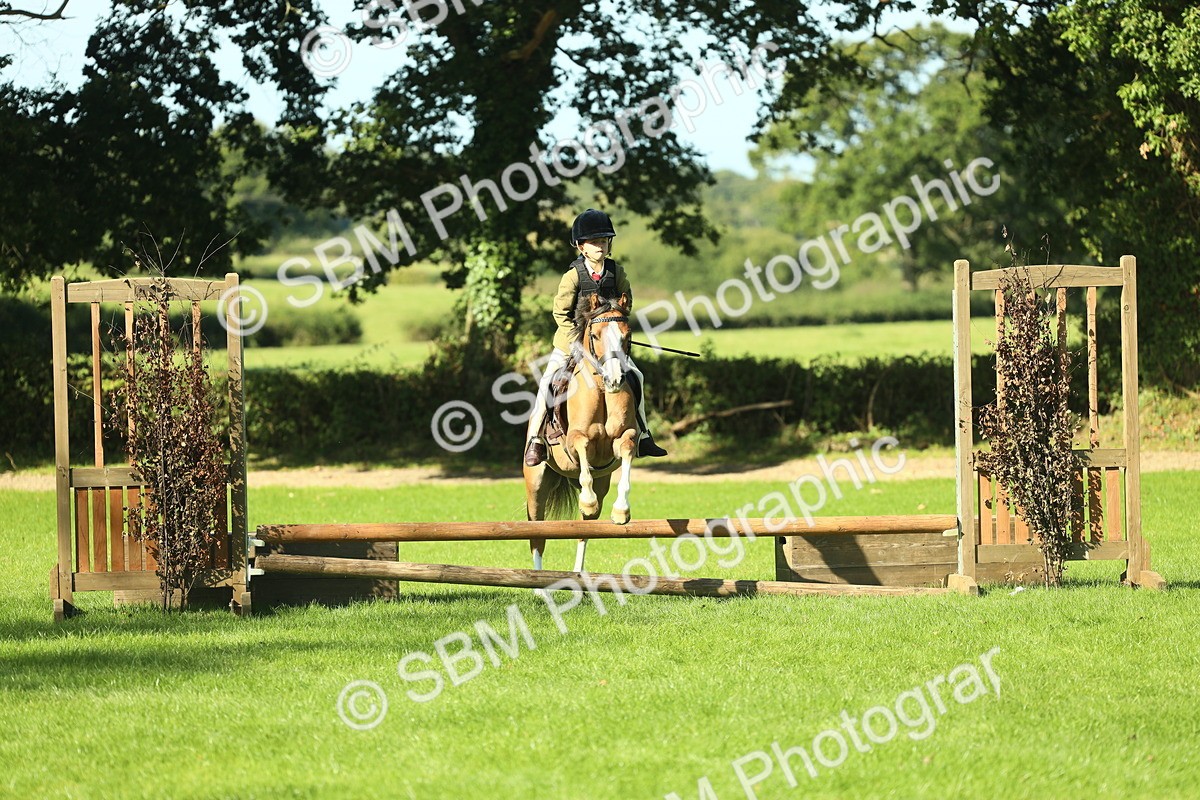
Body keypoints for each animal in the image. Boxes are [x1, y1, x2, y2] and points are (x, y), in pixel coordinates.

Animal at [523, 292, 639, 575]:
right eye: (595, 335)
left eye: (627, 335)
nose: (614, 380)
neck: (600, 388)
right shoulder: (575, 440)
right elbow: (582, 445)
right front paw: (587, 500)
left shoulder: (625, 438)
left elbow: (626, 452)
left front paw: (621, 512)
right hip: (536, 484)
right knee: (537, 534)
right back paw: (538, 580)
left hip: (602, 482)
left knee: (584, 529)